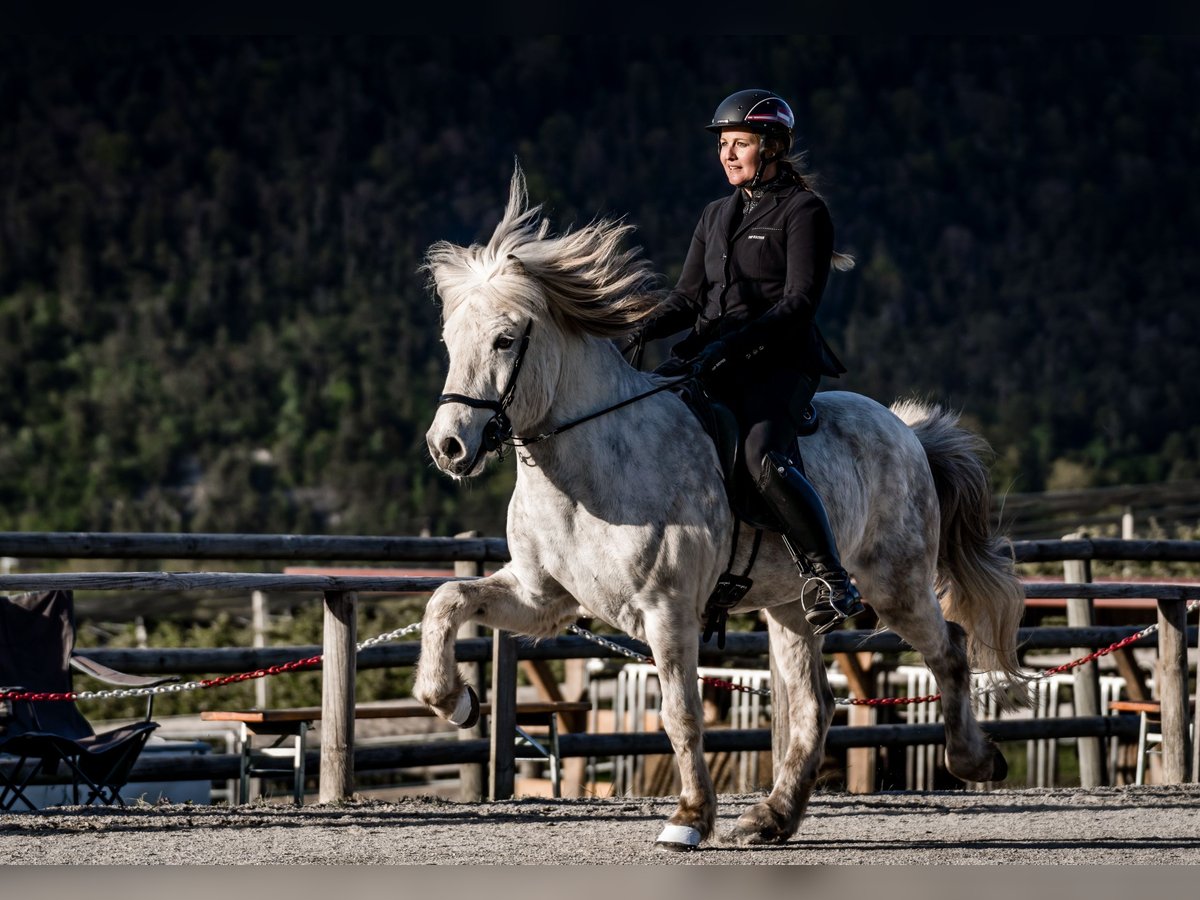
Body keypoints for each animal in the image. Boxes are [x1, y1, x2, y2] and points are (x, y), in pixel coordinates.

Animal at [417, 168, 1027, 854]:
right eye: (449, 341)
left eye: (504, 339)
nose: (448, 446)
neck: (583, 470)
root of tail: (909, 432)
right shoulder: (543, 598)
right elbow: (446, 598)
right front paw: (455, 700)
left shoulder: (667, 609)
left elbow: (680, 713)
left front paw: (688, 817)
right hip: (790, 606)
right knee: (815, 705)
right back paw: (772, 818)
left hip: (894, 584)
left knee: (949, 649)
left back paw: (973, 760)